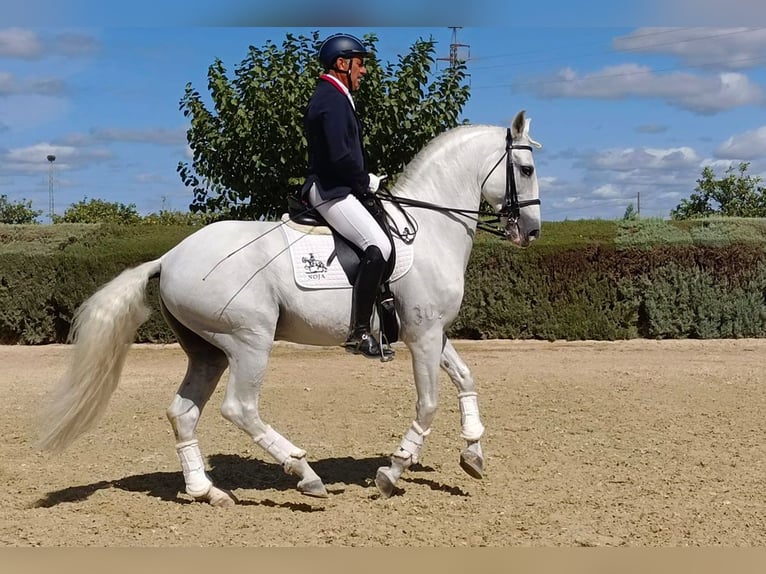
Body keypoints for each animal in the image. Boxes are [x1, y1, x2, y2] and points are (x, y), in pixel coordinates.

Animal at [39, 110, 544, 506]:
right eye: (525, 168)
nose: (532, 232)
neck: (428, 229)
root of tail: (170, 257)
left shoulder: (432, 331)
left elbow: (466, 378)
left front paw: (473, 453)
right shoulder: (422, 335)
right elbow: (428, 404)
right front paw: (393, 470)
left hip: (209, 352)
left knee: (182, 412)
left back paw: (207, 491)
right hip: (249, 341)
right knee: (239, 408)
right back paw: (305, 474)